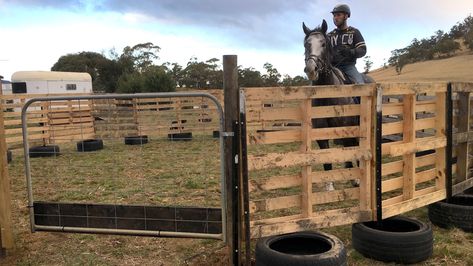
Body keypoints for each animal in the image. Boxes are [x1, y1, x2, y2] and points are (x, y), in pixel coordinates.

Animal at [302, 19, 368, 190]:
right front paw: (329, 186)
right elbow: (326, 160)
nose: (311, 69)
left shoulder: (345, 131)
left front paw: (355, 179)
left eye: (324, 43)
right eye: (306, 44)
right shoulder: (321, 136)